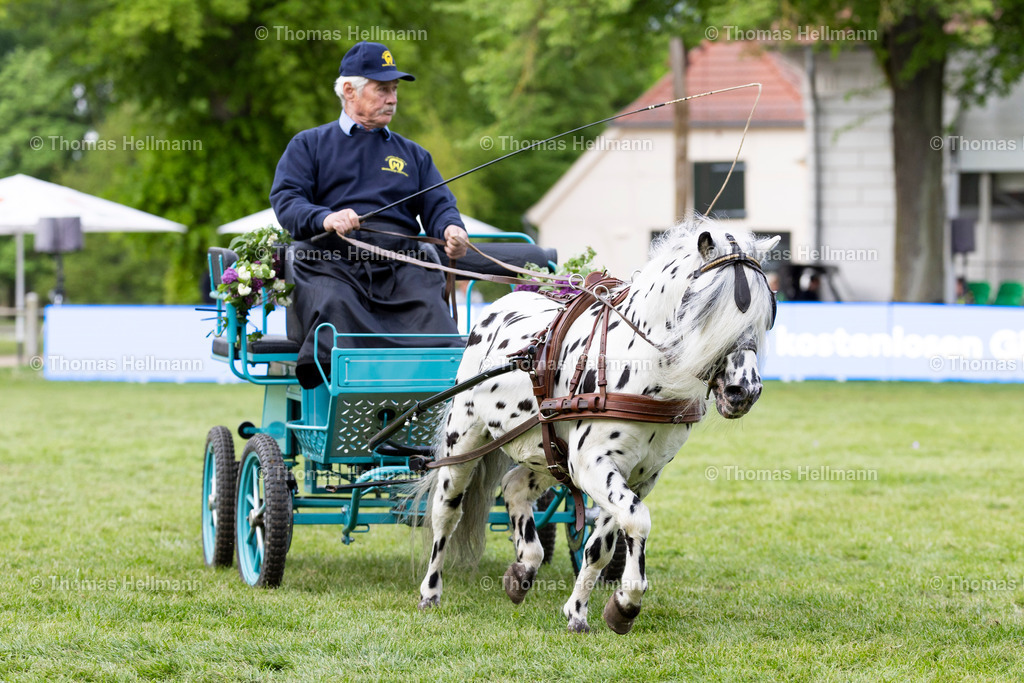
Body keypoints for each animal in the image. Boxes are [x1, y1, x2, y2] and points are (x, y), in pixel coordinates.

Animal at [413, 220, 780, 634]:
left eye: (766, 315)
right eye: (709, 309)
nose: (743, 391)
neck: (639, 362)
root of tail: (502, 304)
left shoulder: (637, 475)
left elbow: (600, 547)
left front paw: (581, 610)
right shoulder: (593, 464)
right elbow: (637, 519)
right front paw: (626, 603)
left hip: (548, 453)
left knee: (514, 486)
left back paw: (524, 566)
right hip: (465, 442)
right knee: (445, 515)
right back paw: (430, 591)